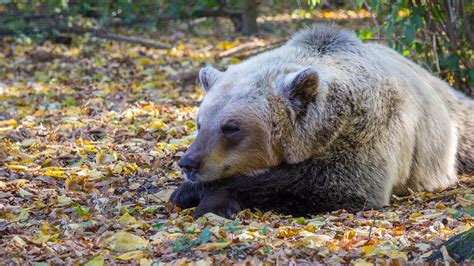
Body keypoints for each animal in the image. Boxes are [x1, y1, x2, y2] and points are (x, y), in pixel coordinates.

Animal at [170, 23, 474, 218]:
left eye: (231, 127)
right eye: (200, 123)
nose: (189, 163)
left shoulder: (365, 128)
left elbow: (332, 183)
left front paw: (211, 199)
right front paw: (186, 191)